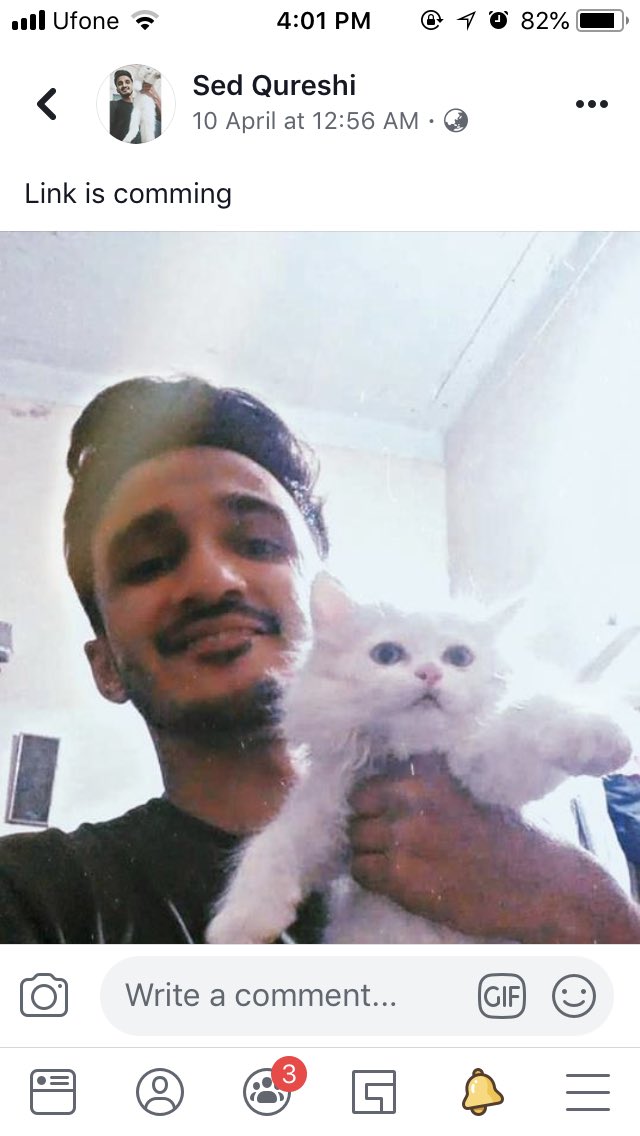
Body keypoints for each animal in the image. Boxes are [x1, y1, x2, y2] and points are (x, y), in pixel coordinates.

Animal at [205, 572, 636, 944]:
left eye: (459, 656)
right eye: (387, 654)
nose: (429, 673)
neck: (412, 750)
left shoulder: (492, 774)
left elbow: (531, 717)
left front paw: (607, 739)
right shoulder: (322, 812)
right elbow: (268, 849)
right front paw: (235, 928)